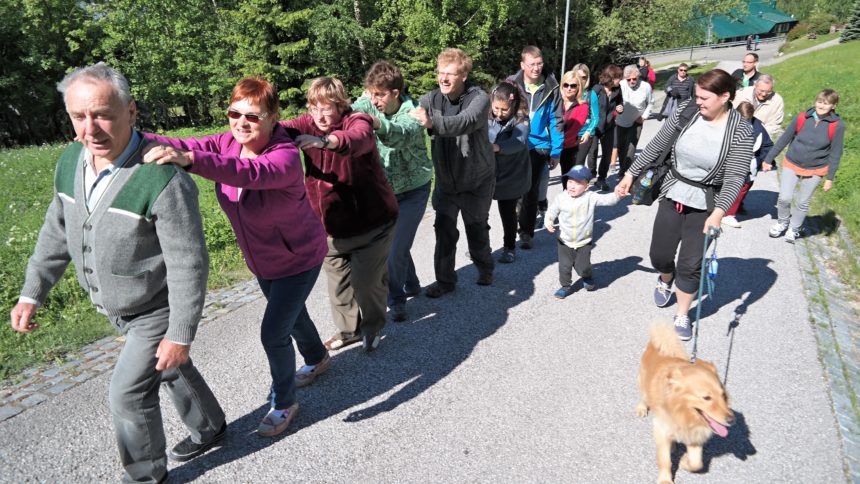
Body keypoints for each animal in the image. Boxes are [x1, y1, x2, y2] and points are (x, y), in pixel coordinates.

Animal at [636, 322, 736, 484]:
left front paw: (684, 461)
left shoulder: (695, 435)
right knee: (644, 398)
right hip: (643, 384)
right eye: (706, 398)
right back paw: (641, 408)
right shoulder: (661, 429)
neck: (681, 411)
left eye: (723, 395)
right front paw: (665, 480)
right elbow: (664, 460)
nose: (732, 420)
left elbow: (697, 463)